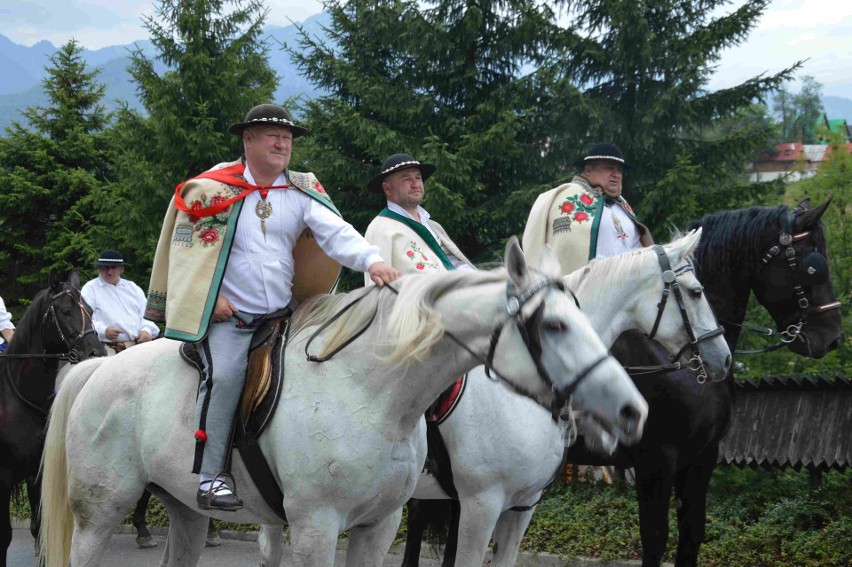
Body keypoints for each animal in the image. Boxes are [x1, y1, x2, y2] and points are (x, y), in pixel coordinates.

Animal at [0, 272, 104, 567]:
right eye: (66, 311)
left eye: (90, 310)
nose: (96, 352)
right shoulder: (4, 474)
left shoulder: (36, 472)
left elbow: (39, 530)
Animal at [36, 241, 644, 567]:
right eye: (555, 325)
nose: (632, 411)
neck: (372, 392)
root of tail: (99, 368)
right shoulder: (320, 526)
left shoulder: (383, 525)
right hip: (99, 513)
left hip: (186, 510)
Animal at [402, 200, 844, 567]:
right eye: (813, 266)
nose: (831, 338)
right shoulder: (656, 463)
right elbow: (656, 540)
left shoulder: (700, 461)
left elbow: (691, 537)